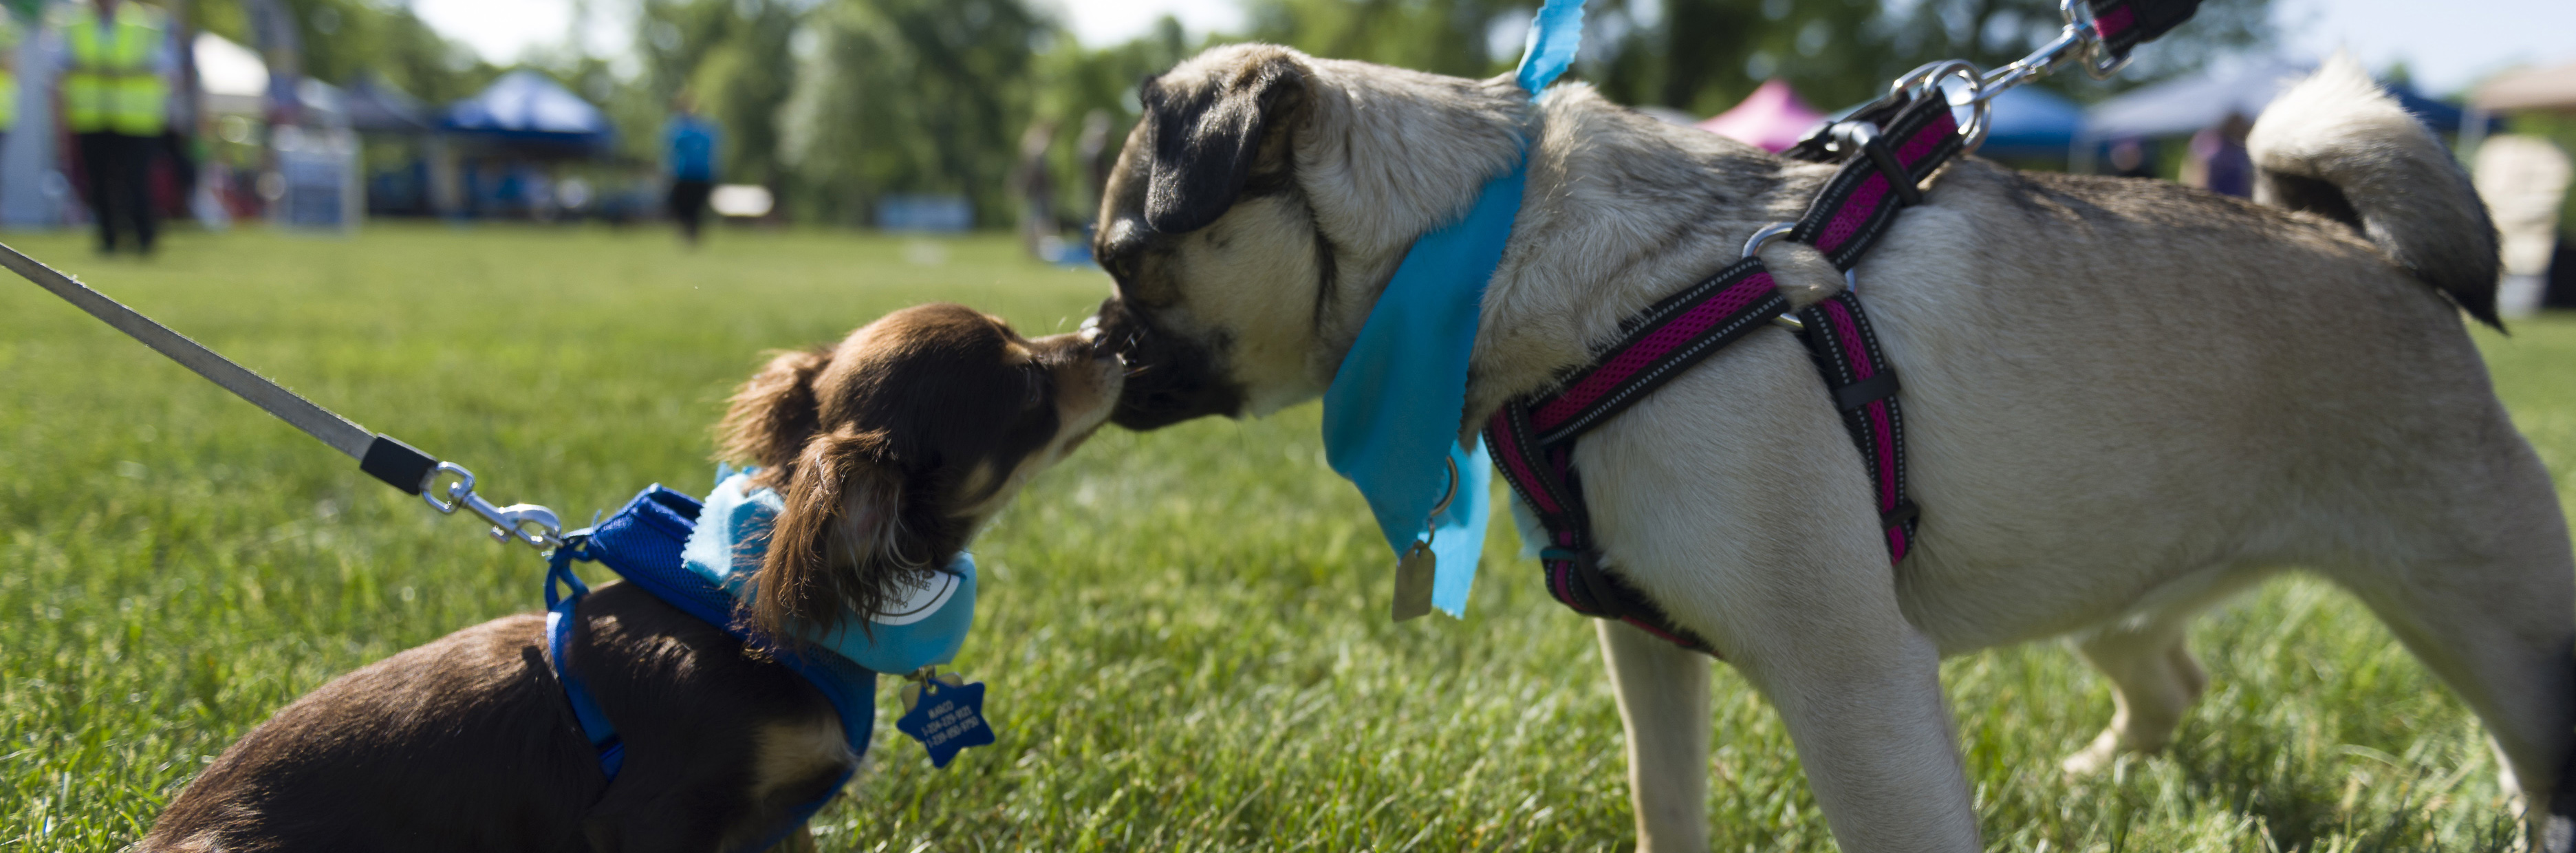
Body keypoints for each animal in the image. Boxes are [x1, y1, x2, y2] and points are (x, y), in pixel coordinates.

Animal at [1092, 46, 2576, 853]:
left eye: (1125, 257)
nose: (1096, 331)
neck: (1500, 246)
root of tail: (2364, 248)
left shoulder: (1853, 686)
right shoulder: (1645, 654)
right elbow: (1667, 799)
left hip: (2493, 616)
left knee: (2529, 746)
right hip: (2119, 589)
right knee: (2170, 677)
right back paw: (2095, 776)